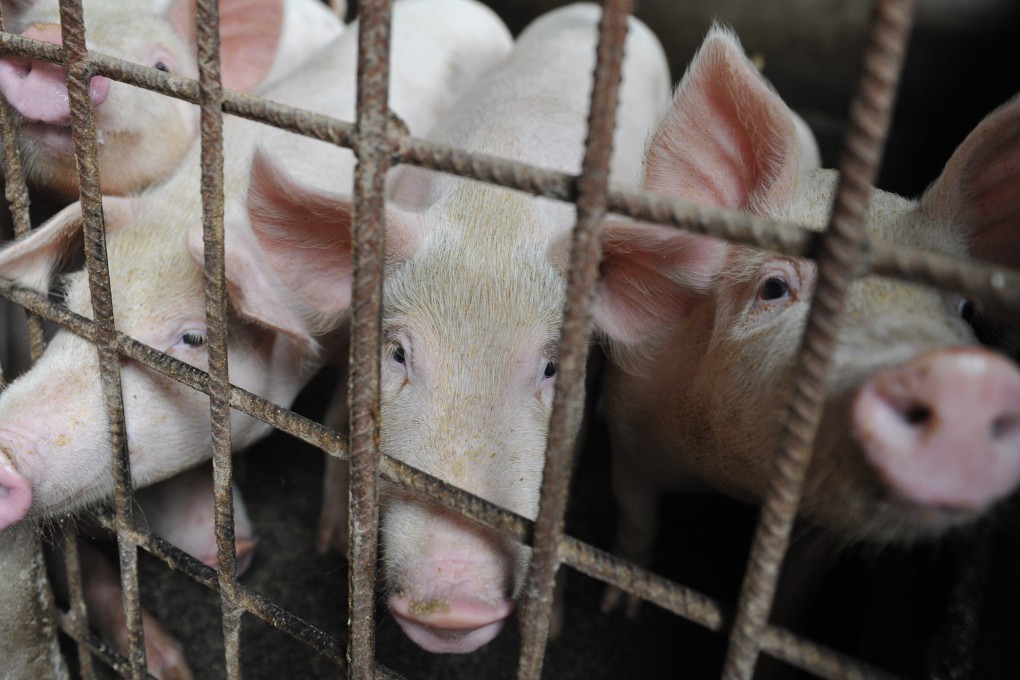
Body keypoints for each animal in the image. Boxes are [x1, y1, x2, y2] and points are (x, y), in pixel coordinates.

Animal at [283, 3, 671, 653]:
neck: (494, 211)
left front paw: (552, 630)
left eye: (552, 367)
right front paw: (334, 546)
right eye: (398, 353)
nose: (452, 604)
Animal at [594, 26, 1020, 614]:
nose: (966, 377)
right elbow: (636, 519)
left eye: (963, 309)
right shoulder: (629, 422)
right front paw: (618, 607)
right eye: (774, 288)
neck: (733, 482)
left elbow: (793, 585)